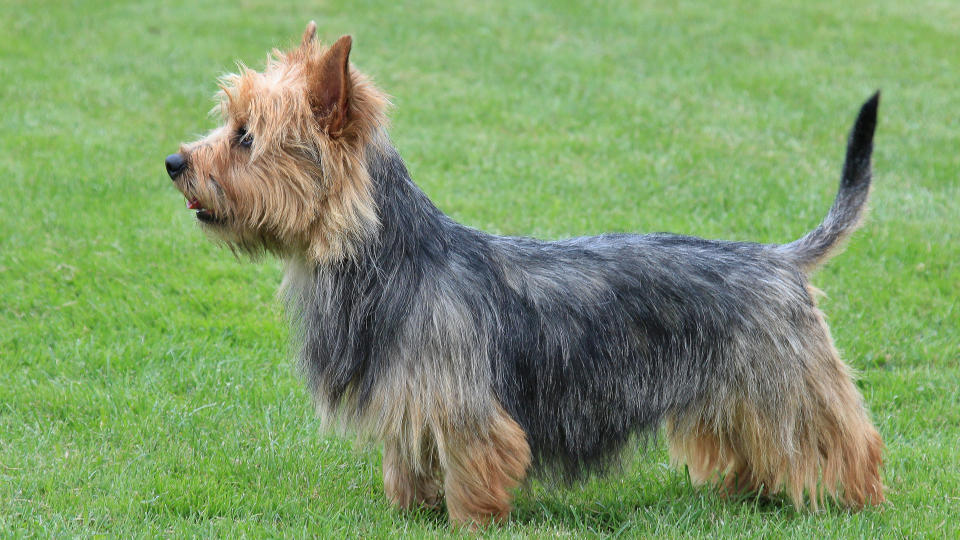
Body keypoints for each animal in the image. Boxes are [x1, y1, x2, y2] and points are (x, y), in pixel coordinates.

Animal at [165, 23, 884, 524]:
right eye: (229, 125)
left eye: (246, 138)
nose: (174, 162)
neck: (395, 261)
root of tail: (778, 258)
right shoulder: (410, 398)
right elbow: (405, 463)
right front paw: (409, 510)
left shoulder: (467, 412)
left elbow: (473, 476)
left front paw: (466, 521)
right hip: (735, 394)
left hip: (790, 383)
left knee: (848, 440)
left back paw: (859, 499)